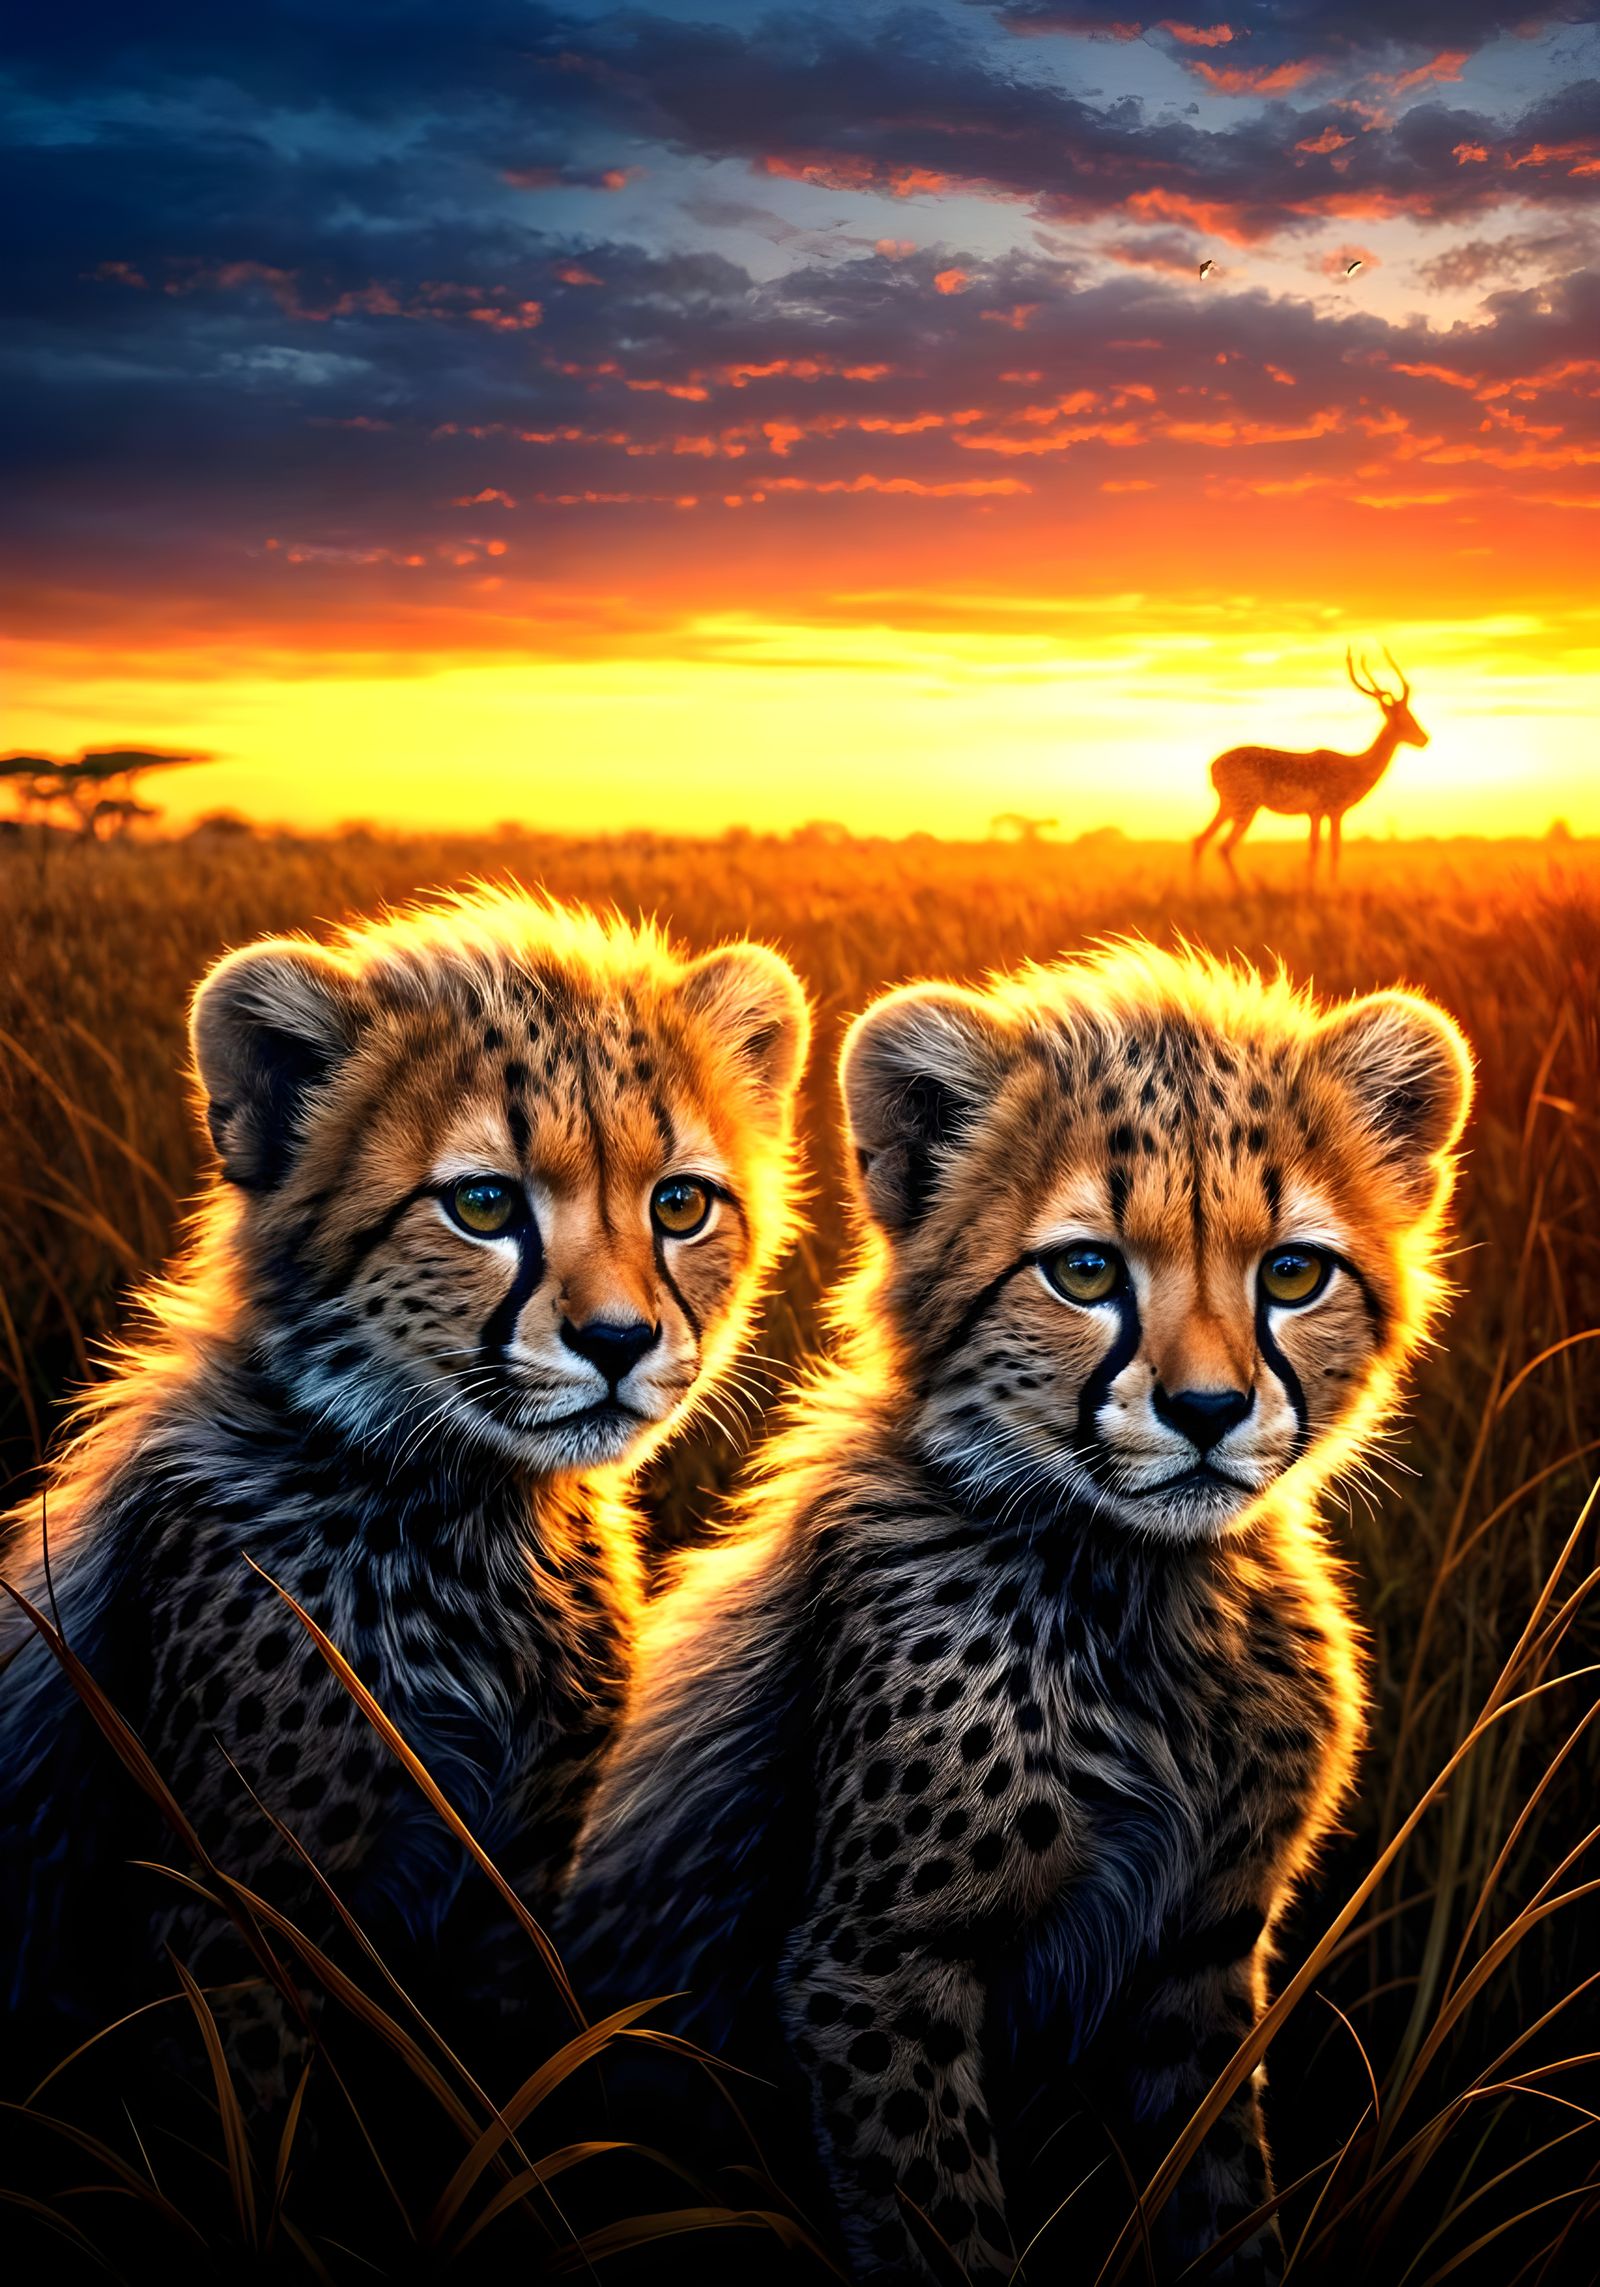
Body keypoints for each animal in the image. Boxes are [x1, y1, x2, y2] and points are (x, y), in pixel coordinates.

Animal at [0, 888, 809, 2103]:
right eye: (481, 1203)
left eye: (679, 1204)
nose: (619, 1341)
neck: (471, 1518)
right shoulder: (247, 1918)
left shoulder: (520, 1884)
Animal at [563, 942, 1473, 2285]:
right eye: (1084, 1270)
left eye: (1293, 1273)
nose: (1207, 1410)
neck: (1144, 1594)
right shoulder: (877, 1967)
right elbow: (943, 2223)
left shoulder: (1199, 1956)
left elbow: (1216, 2188)